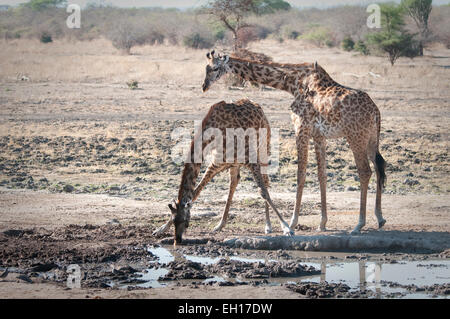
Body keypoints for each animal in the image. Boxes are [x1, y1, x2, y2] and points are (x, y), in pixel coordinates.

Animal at [154, 99, 296, 244]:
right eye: (174, 221)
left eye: (186, 222)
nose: (177, 240)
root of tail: (256, 105)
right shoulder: (216, 163)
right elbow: (195, 192)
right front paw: (161, 229)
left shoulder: (250, 158)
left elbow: (263, 192)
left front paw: (287, 228)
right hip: (233, 164)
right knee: (234, 182)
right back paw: (220, 225)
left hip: (263, 149)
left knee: (265, 183)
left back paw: (268, 225)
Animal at [201, 50, 386, 235]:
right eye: (206, 68)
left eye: (215, 68)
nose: (204, 86)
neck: (293, 83)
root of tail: (376, 111)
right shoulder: (319, 136)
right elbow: (322, 175)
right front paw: (322, 222)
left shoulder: (301, 129)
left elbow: (301, 174)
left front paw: (293, 222)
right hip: (371, 139)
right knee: (379, 166)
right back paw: (379, 218)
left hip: (355, 137)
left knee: (365, 171)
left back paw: (359, 224)